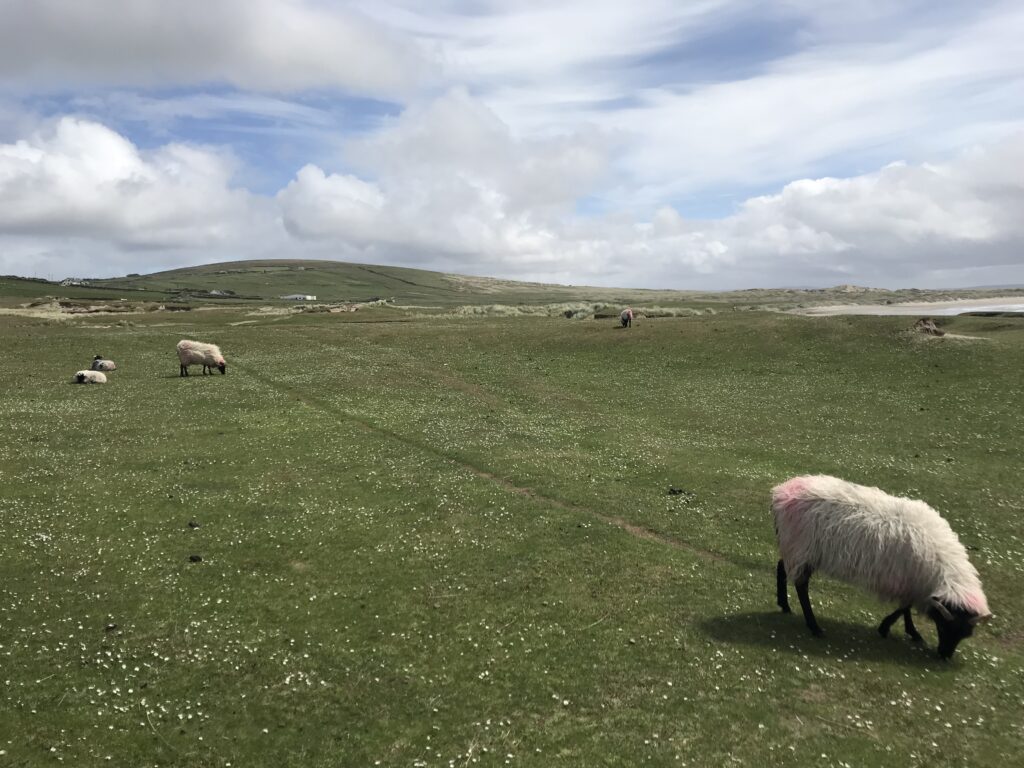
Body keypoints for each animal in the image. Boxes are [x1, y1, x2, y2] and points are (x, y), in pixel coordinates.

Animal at [774, 475, 991, 663]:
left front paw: (906, 631)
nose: (945, 655)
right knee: (801, 586)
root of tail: (781, 492)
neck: (943, 569)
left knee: (782, 568)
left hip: (797, 549)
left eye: (966, 634)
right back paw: (814, 627)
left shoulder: (912, 583)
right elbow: (904, 607)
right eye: (946, 627)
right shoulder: (911, 581)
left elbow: (905, 607)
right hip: (801, 547)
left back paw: (785, 605)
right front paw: (892, 629)